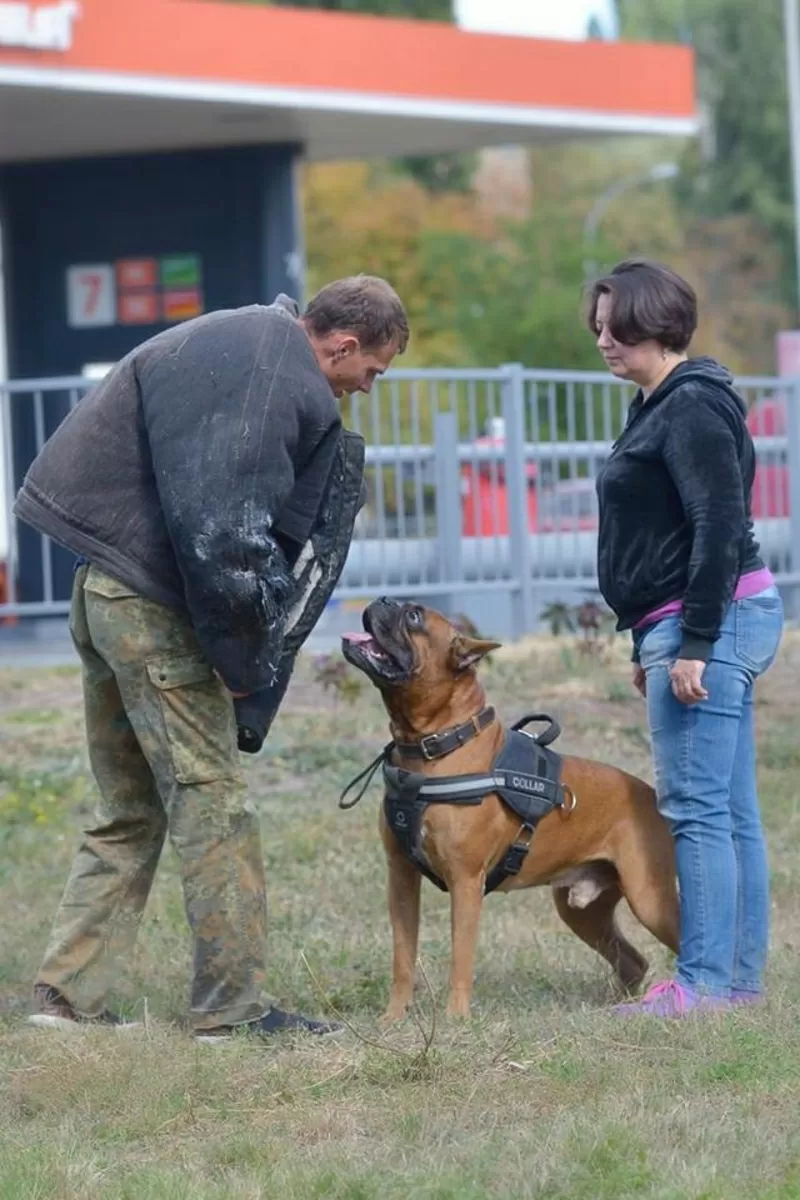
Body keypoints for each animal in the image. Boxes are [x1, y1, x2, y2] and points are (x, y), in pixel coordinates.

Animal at [340, 595, 681, 1017]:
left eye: (414, 616)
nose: (384, 598)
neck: (437, 744)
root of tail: (650, 796)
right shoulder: (401, 878)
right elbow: (403, 956)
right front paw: (393, 1018)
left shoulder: (466, 883)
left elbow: (460, 958)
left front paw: (455, 1019)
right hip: (583, 912)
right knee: (634, 961)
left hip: (650, 899)